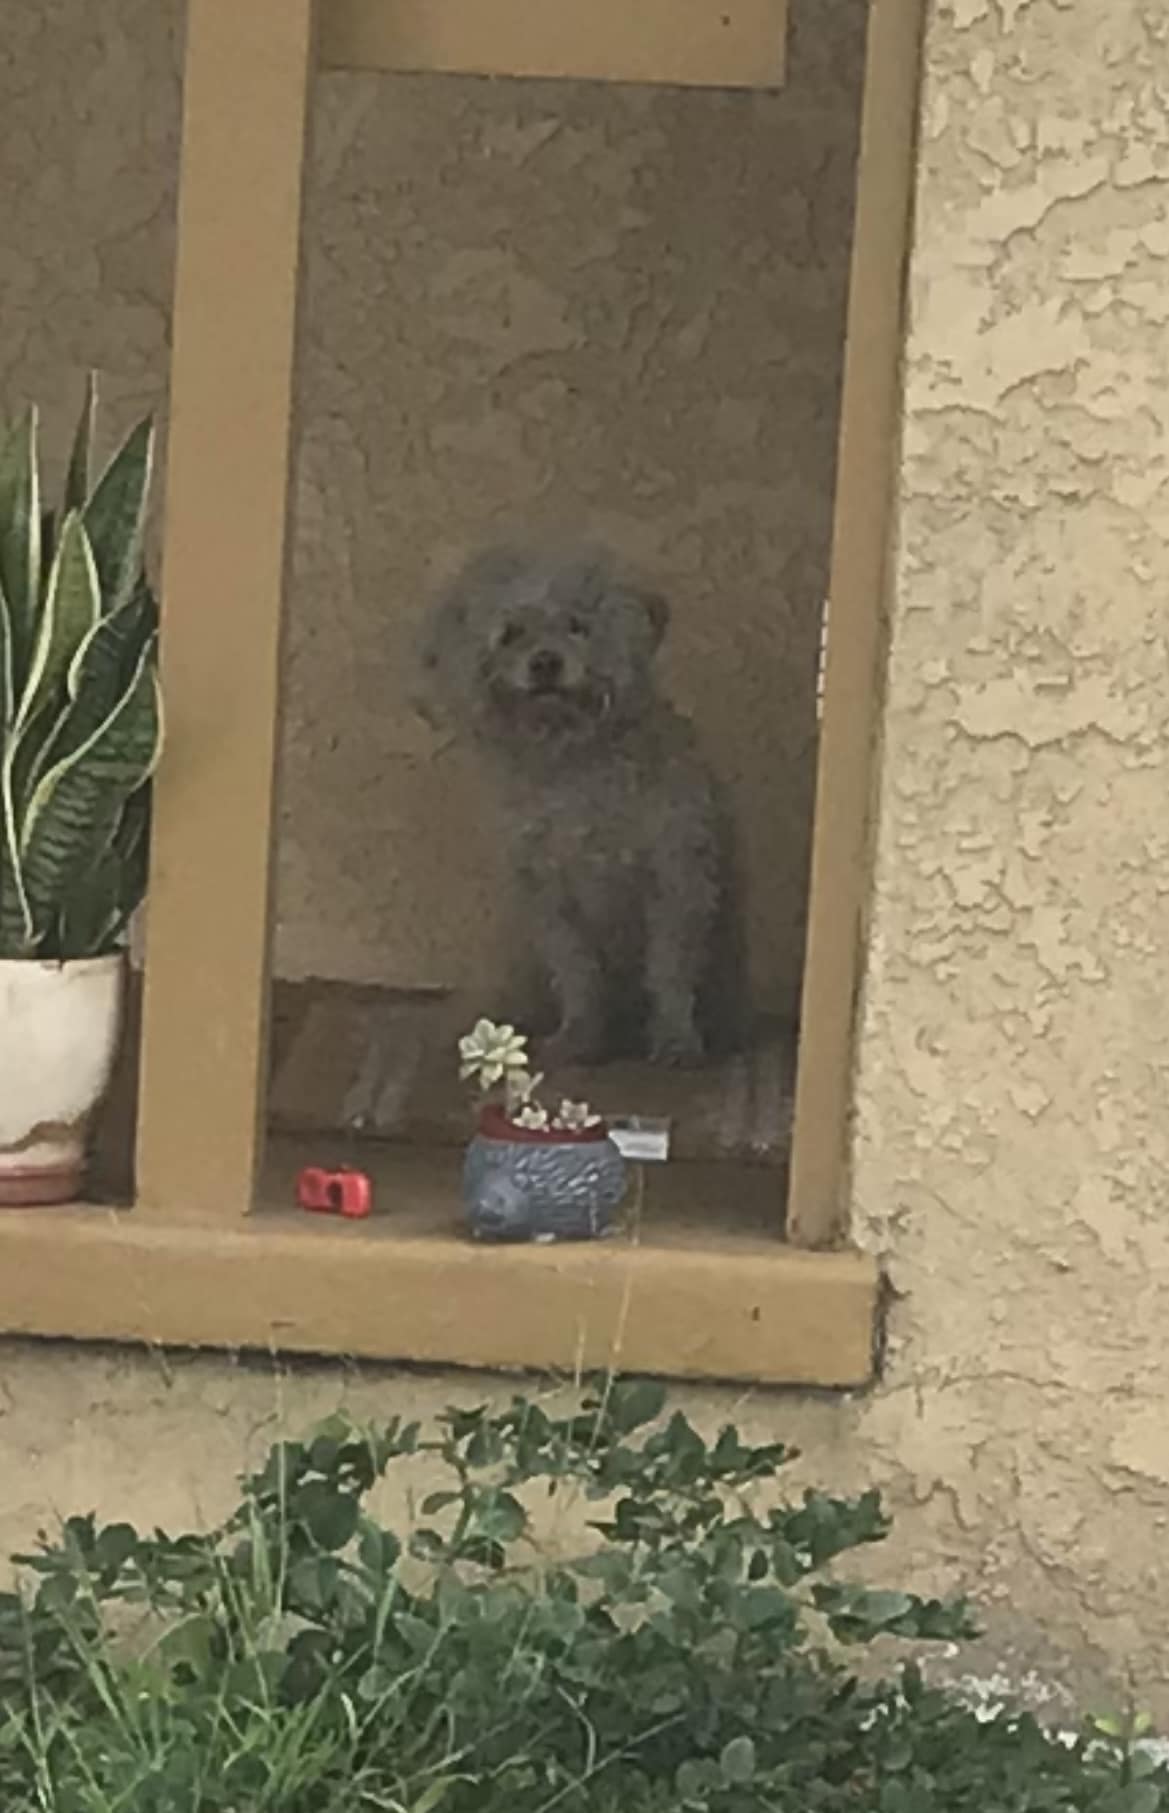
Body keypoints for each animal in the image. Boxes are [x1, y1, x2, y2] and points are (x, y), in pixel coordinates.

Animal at [418, 543, 746, 1066]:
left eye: (577, 625)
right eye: (510, 633)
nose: (545, 663)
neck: (576, 761)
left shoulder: (675, 882)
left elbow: (670, 969)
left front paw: (675, 1038)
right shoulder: (552, 898)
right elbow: (577, 973)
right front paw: (580, 1034)